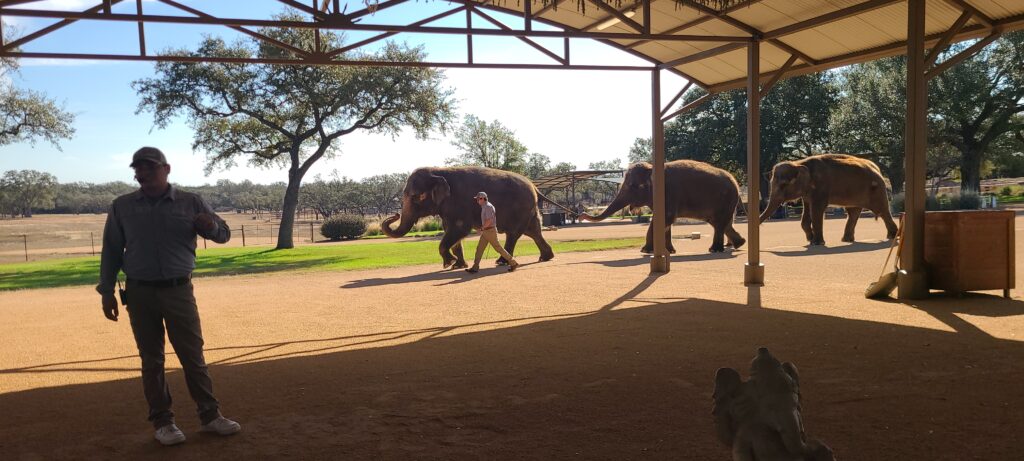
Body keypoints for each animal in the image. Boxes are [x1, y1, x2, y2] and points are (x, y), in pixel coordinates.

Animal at [381, 166, 560, 269]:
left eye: (417, 197)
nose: (395, 214)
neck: (438, 170)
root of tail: (535, 187)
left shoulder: (460, 203)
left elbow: (459, 229)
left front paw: (449, 263)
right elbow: (451, 231)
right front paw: (458, 265)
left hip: (521, 208)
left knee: (514, 234)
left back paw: (501, 262)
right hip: (529, 210)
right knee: (534, 231)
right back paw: (546, 257)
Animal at [580, 160, 745, 253]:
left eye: (633, 185)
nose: (581, 215)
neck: (652, 167)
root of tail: (736, 183)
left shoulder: (669, 193)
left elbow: (665, 219)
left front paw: (645, 251)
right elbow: (664, 222)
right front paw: (669, 251)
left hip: (726, 200)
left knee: (719, 223)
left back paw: (715, 250)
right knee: (719, 223)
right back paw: (738, 244)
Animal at [759, 154, 898, 246]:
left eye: (783, 184)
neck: (799, 163)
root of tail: (877, 168)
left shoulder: (821, 187)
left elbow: (817, 211)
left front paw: (817, 243)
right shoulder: (808, 192)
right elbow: (806, 213)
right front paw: (810, 239)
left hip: (877, 190)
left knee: (882, 210)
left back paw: (892, 236)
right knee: (853, 212)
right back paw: (846, 240)